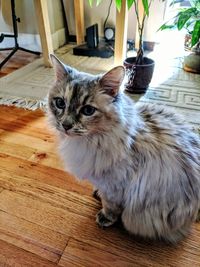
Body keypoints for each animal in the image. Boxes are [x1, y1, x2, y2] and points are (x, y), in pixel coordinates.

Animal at [48, 54, 200, 243]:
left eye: (88, 110)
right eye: (60, 103)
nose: (66, 125)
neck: (93, 140)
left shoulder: (114, 185)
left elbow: (110, 205)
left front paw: (105, 217)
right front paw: (97, 194)